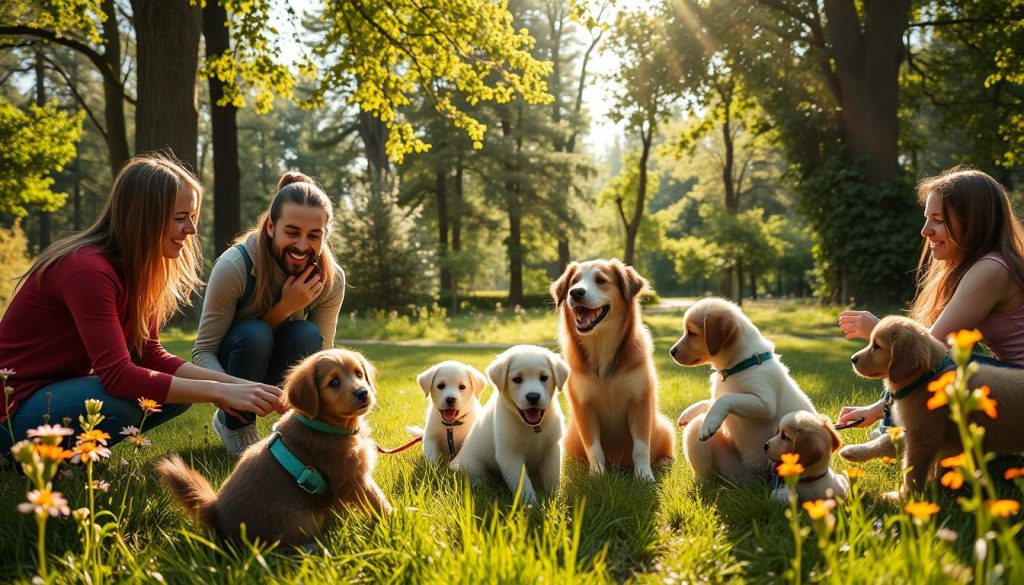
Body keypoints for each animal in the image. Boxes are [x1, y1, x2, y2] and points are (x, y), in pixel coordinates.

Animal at [153, 348, 389, 545]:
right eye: (334, 383)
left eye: (358, 374)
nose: (363, 393)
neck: (323, 425)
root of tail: (216, 514)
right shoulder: (354, 480)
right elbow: (379, 502)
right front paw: (394, 520)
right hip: (298, 520)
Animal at [454, 346, 573, 506]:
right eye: (517, 379)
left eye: (544, 378)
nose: (533, 397)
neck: (532, 427)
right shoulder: (510, 455)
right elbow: (521, 481)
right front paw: (530, 503)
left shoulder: (552, 448)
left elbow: (552, 476)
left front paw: (554, 498)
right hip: (472, 464)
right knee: (478, 478)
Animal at [548, 260, 675, 481]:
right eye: (574, 282)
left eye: (600, 280)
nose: (575, 293)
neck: (602, 347)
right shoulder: (584, 406)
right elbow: (593, 447)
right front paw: (597, 474)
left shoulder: (640, 402)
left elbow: (641, 447)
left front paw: (644, 475)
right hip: (571, 436)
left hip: (664, 427)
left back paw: (664, 462)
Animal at [671, 297, 815, 485]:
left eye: (692, 333)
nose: (671, 352)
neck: (740, 365)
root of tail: (749, 481)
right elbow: (711, 401)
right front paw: (689, 411)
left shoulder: (764, 404)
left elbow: (725, 399)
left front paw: (709, 423)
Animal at [847, 315, 1024, 493]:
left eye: (877, 346)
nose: (852, 359)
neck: (925, 378)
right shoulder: (915, 430)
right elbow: (886, 441)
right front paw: (853, 451)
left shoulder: (923, 437)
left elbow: (913, 471)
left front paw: (905, 496)